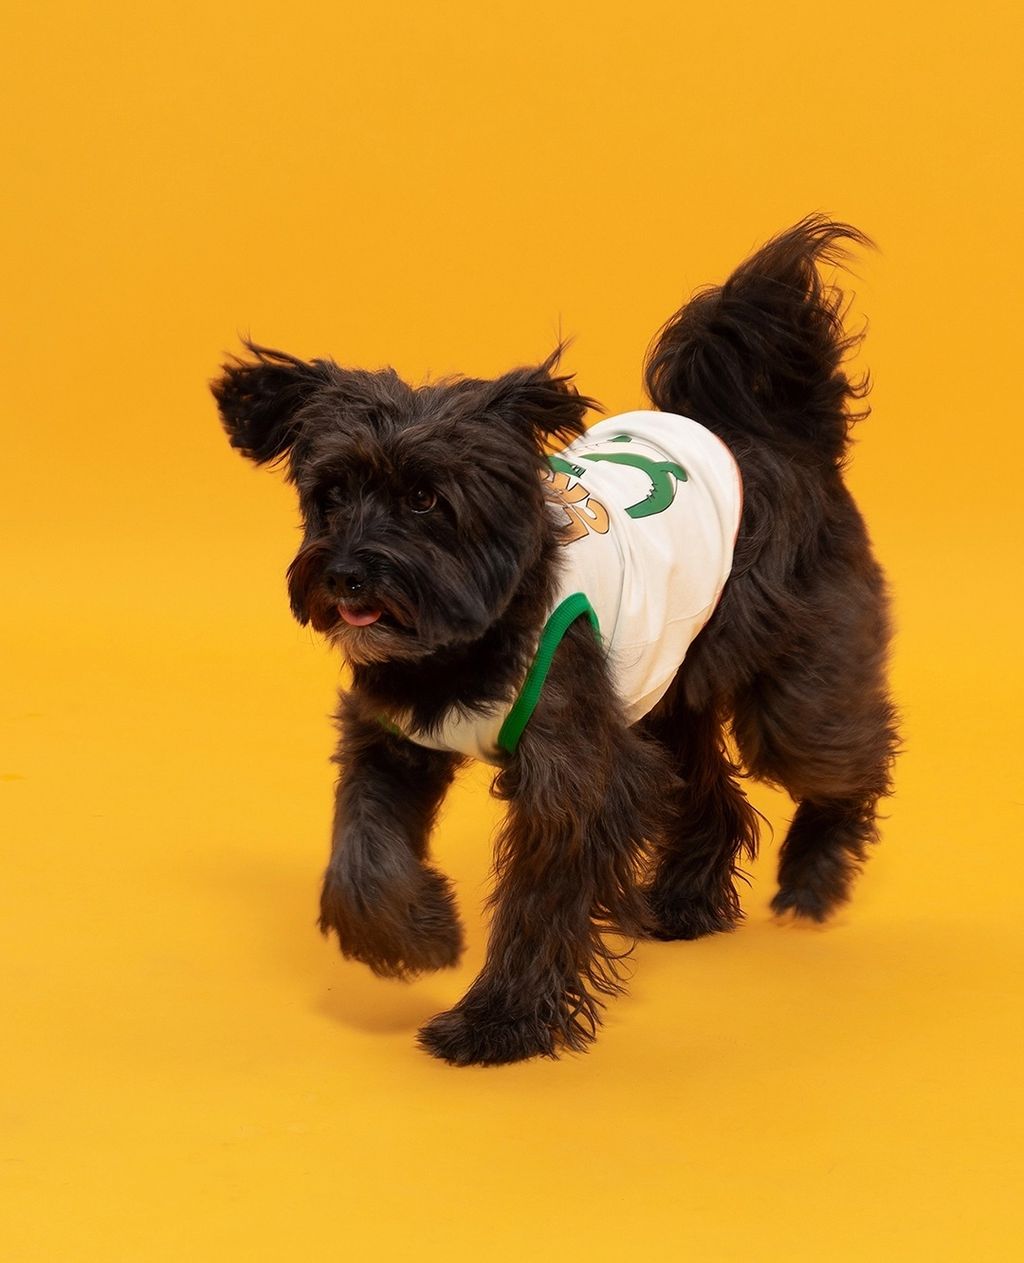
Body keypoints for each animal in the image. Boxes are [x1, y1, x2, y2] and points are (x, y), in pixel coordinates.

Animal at [211, 215, 898, 1066]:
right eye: (330, 494)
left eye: (426, 499)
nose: (344, 576)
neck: (468, 642)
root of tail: (785, 438)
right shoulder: (394, 739)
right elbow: (360, 855)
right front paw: (416, 937)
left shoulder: (573, 776)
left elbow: (540, 903)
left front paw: (498, 1021)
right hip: (661, 695)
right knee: (712, 790)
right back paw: (685, 901)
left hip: (792, 691)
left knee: (844, 757)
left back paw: (815, 872)